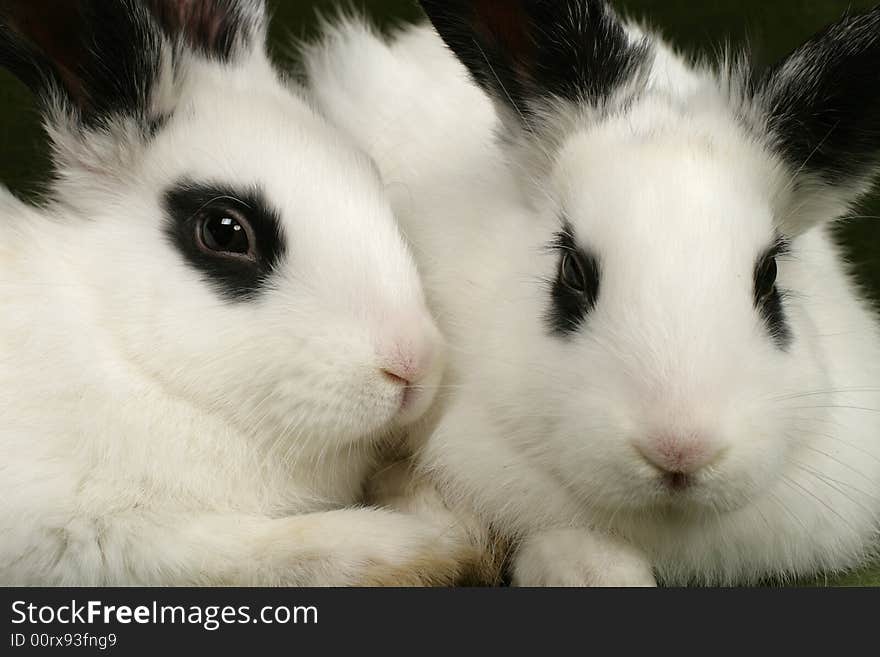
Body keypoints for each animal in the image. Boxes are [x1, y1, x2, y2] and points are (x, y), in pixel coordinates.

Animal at [0, 0, 498, 584]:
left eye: (367, 169)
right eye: (224, 231)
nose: (413, 365)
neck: (127, 359)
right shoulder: (95, 540)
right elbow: (276, 549)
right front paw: (432, 542)